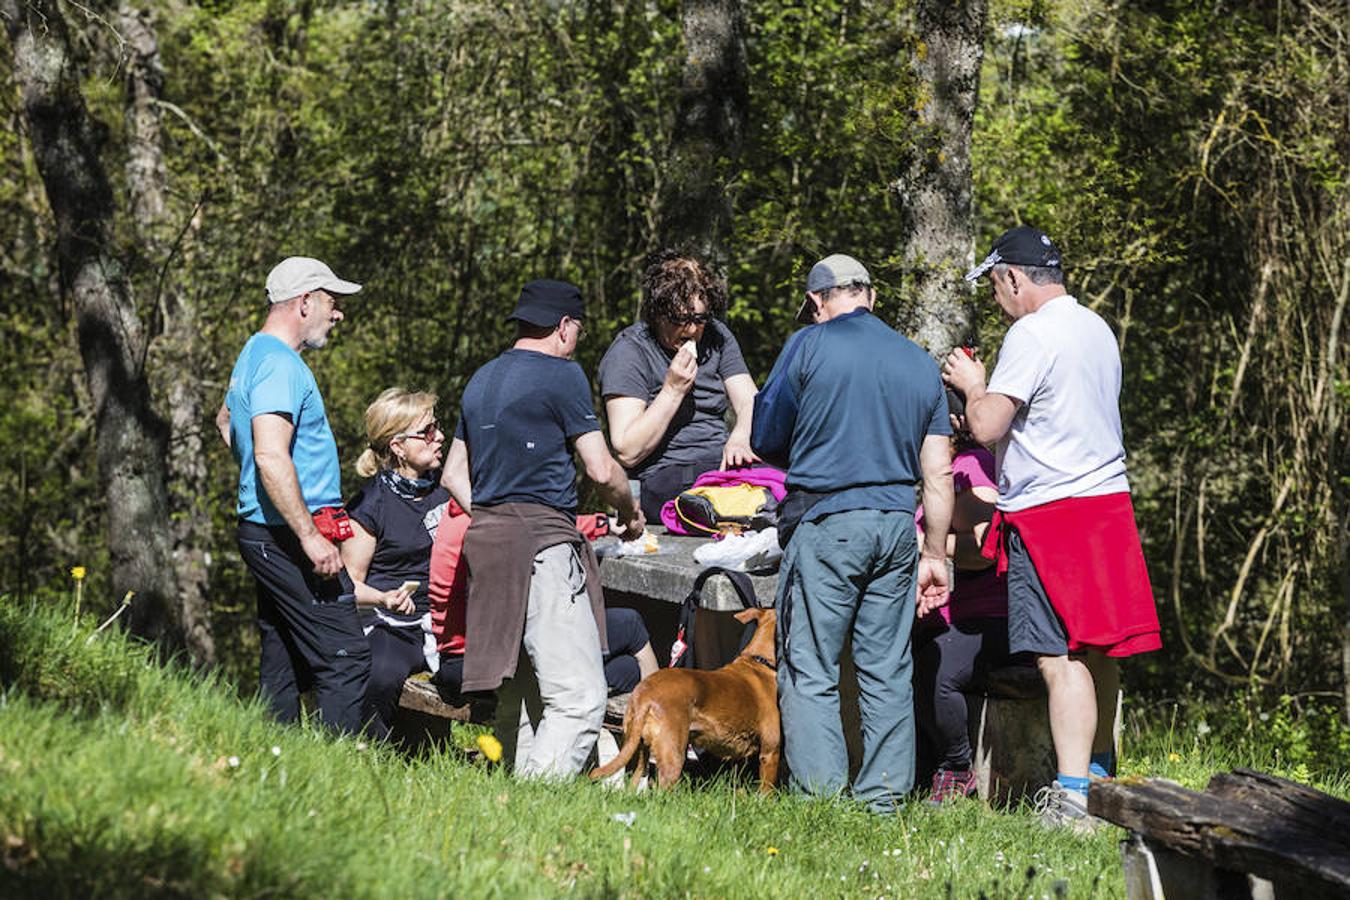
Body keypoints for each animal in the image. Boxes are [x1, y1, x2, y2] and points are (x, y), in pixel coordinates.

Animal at [591, 609, 783, 793]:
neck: (759, 662)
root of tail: (645, 694)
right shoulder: (770, 752)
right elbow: (767, 792)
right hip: (673, 755)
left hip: (636, 748)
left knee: (633, 782)